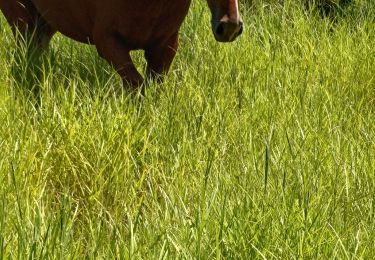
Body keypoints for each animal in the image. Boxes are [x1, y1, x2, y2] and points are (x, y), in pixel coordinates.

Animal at [0, 0, 244, 90]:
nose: (230, 26)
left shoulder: (164, 47)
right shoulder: (108, 43)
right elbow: (137, 86)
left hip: (47, 21)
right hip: (21, 19)